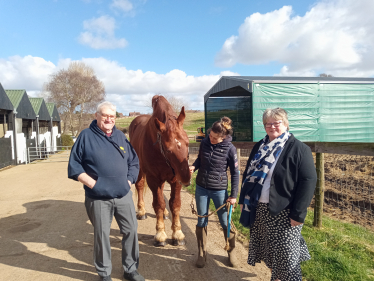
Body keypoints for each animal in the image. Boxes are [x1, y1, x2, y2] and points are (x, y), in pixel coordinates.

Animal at [130, 95, 191, 245]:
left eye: (187, 143)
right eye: (168, 149)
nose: (186, 178)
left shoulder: (175, 180)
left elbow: (175, 204)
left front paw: (177, 233)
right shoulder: (153, 179)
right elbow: (158, 204)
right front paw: (160, 234)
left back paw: (165, 214)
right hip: (140, 171)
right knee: (140, 186)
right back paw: (141, 211)